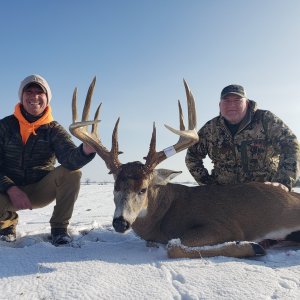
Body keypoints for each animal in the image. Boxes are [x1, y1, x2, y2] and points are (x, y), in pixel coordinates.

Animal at [69, 78, 300, 258]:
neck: (162, 216)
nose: (120, 223)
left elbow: (174, 246)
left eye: (143, 189)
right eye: (115, 187)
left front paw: (251, 246)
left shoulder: (224, 225)